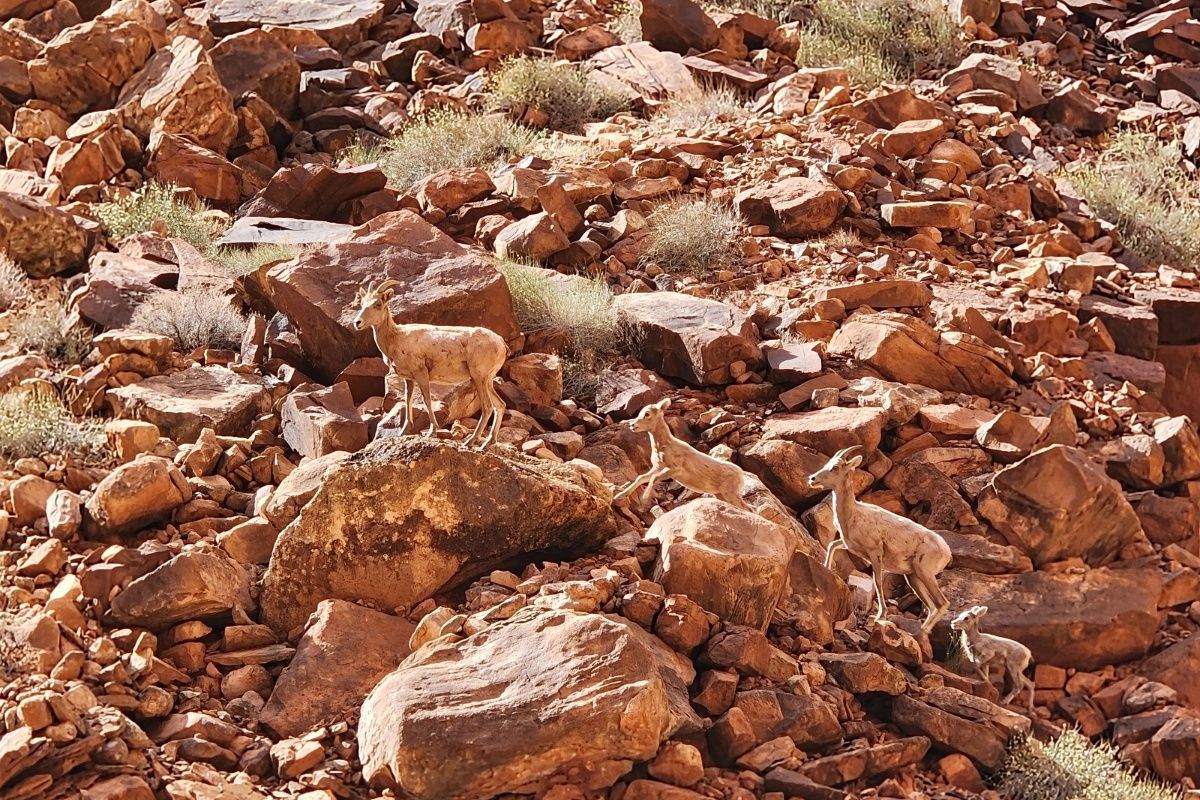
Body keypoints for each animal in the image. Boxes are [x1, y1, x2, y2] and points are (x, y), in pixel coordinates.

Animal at [351, 280, 508, 450]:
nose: (357, 323)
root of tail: (501, 343)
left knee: (487, 407)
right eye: (362, 303)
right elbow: (408, 400)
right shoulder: (409, 379)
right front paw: (404, 432)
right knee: (500, 405)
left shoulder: (421, 374)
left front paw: (432, 432)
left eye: (378, 304)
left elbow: (426, 400)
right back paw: (487, 443)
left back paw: (470, 441)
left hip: (479, 378)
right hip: (488, 381)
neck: (397, 338)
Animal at [613, 398, 751, 510]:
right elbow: (641, 478)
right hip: (720, 495)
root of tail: (740, 474)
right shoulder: (657, 467)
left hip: (730, 494)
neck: (664, 446)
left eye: (647, 414)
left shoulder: (674, 470)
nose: (632, 425)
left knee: (749, 509)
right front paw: (618, 496)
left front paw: (642, 502)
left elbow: (654, 478)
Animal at [807, 446, 951, 632]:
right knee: (932, 606)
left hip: (924, 573)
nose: (812, 479)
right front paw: (825, 569)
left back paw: (922, 632)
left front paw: (880, 616)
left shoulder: (875, 554)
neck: (853, 515)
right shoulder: (849, 545)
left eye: (835, 468)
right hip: (913, 577)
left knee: (942, 603)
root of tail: (946, 552)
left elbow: (877, 583)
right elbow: (832, 545)